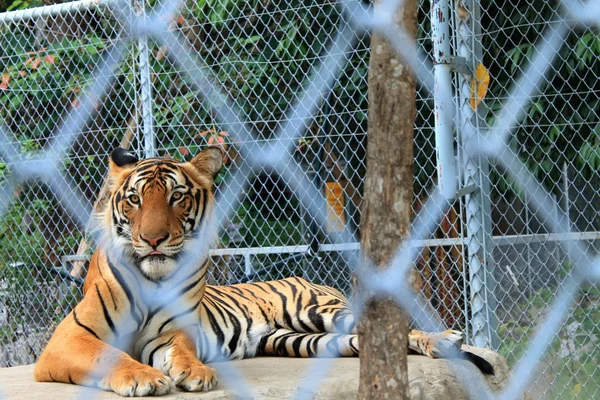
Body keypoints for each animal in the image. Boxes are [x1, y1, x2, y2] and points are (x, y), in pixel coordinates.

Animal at [31, 147, 492, 396]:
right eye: (134, 200)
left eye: (177, 197)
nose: (154, 239)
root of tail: (303, 276)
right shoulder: (68, 338)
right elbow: (107, 354)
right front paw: (144, 378)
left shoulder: (172, 332)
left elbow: (182, 349)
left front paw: (193, 372)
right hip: (303, 341)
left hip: (320, 311)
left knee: (398, 330)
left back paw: (444, 338)